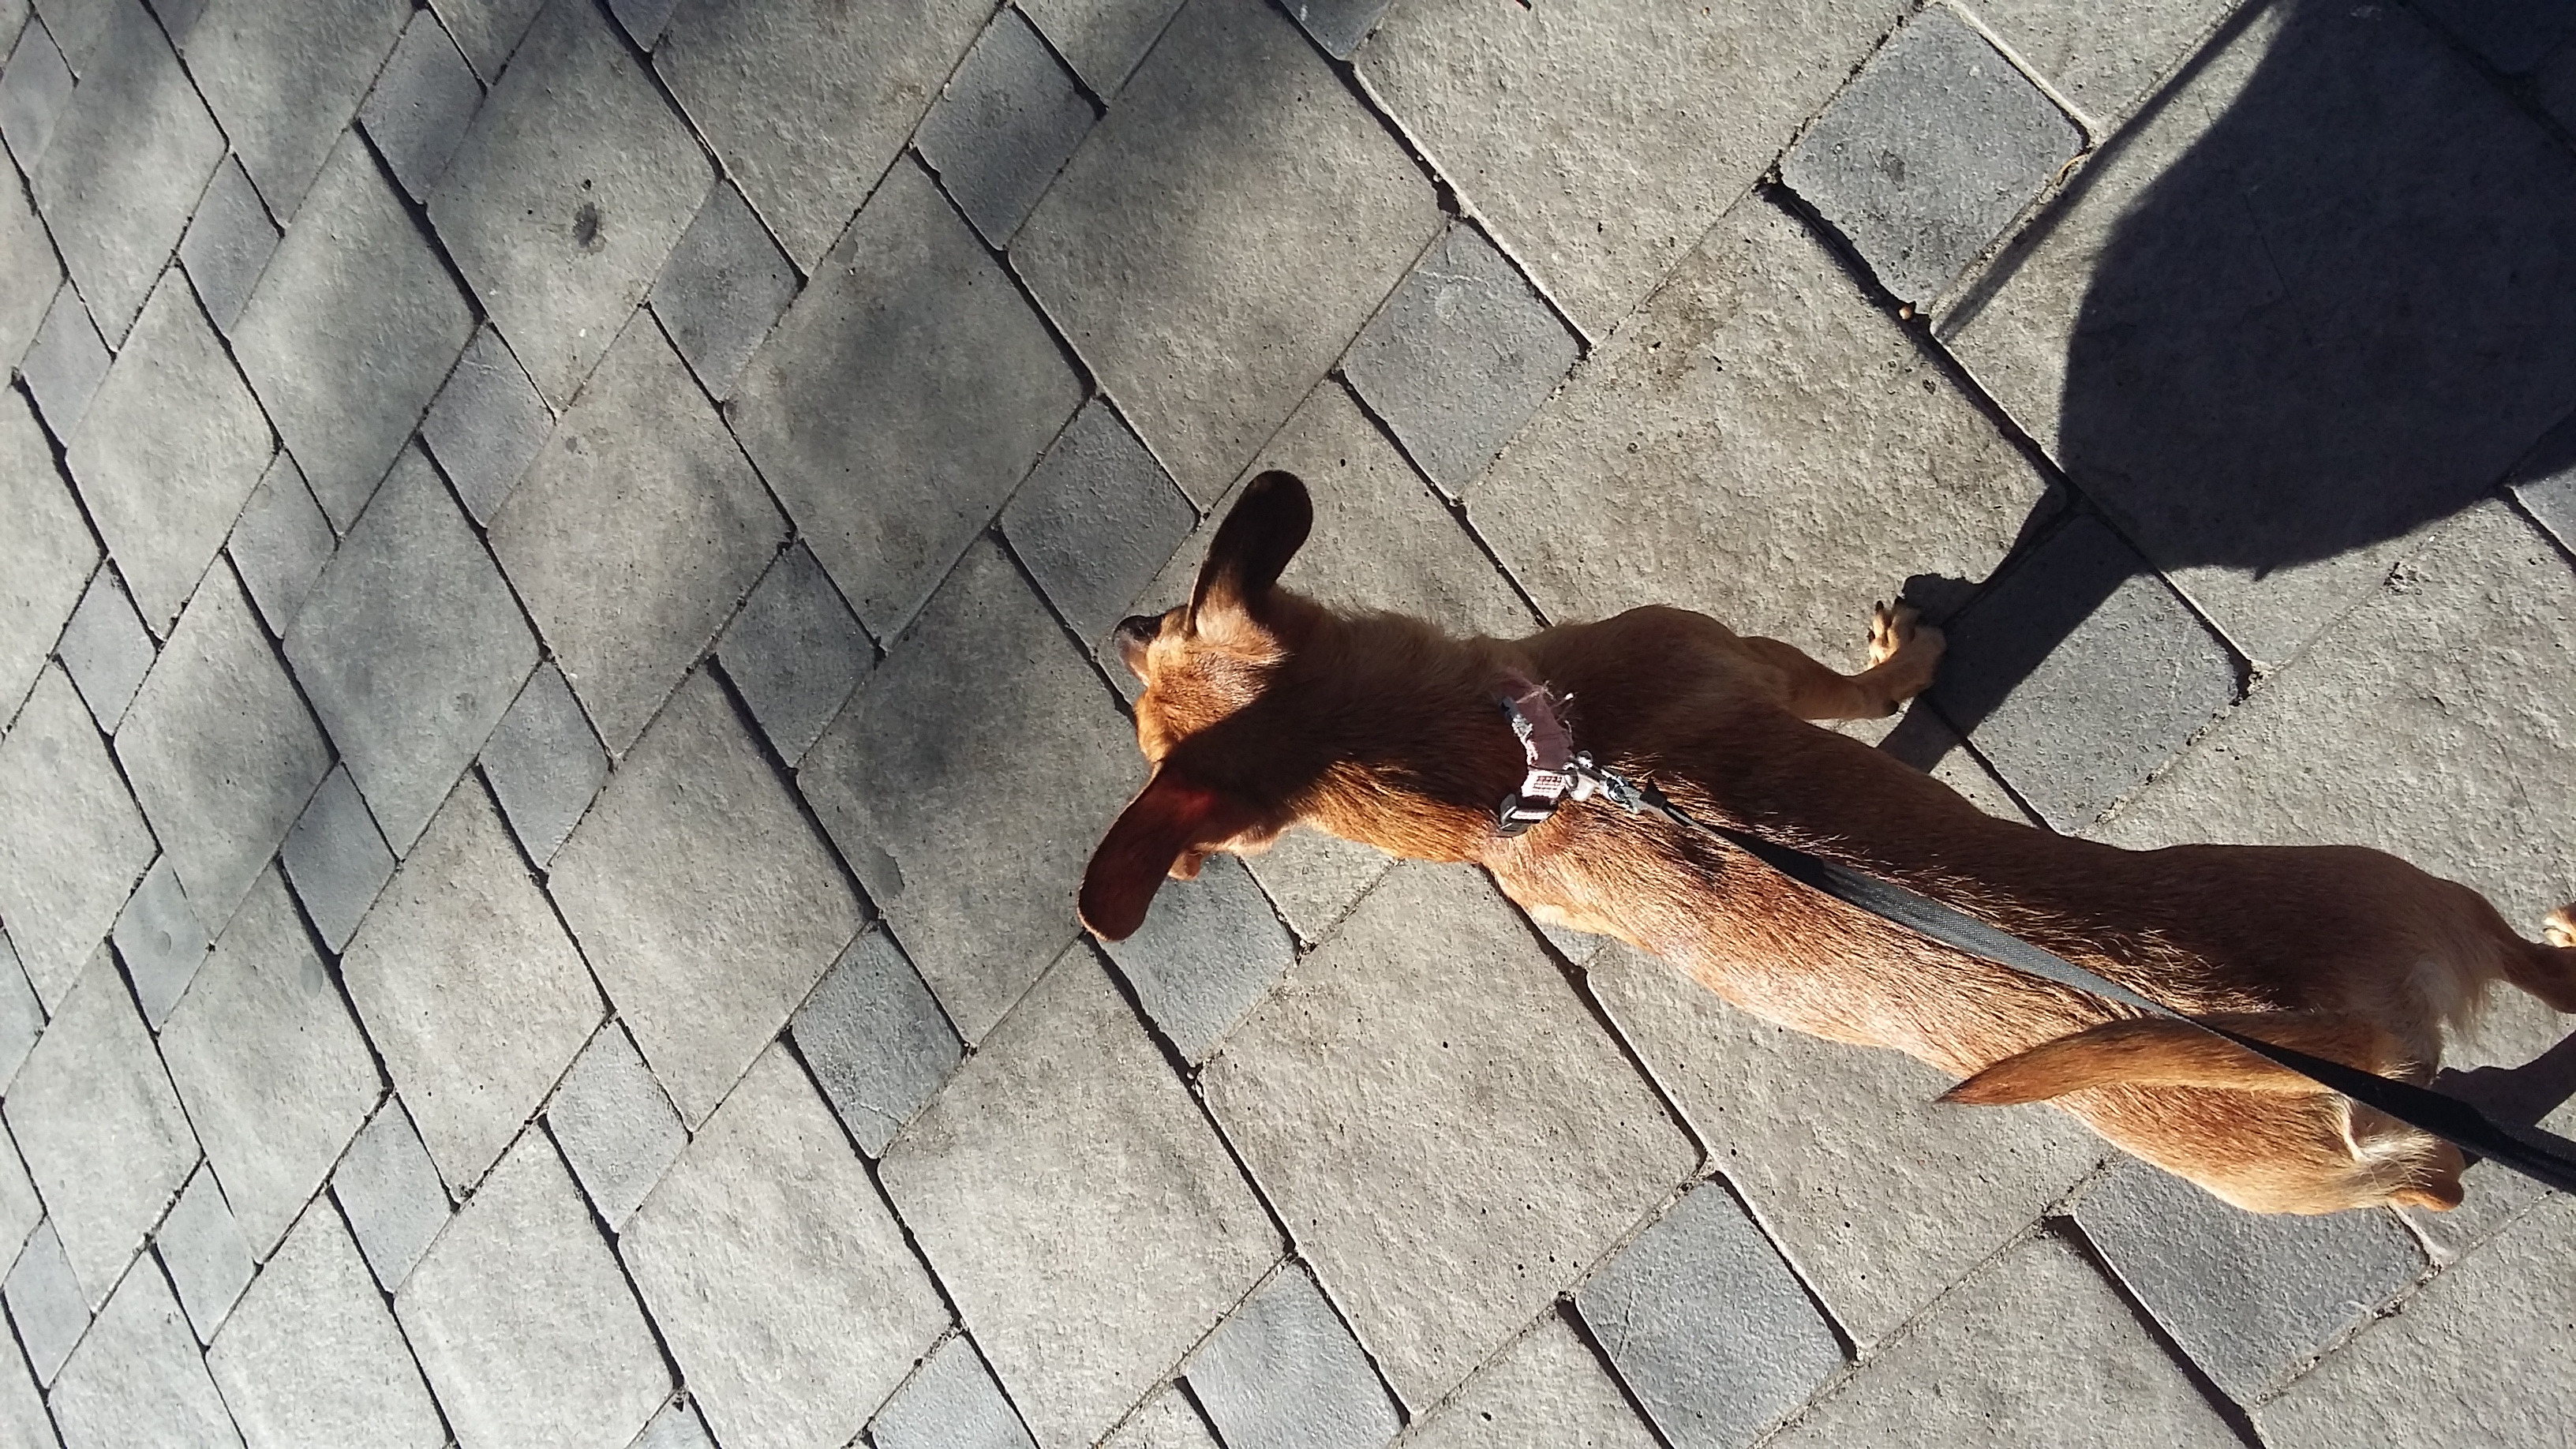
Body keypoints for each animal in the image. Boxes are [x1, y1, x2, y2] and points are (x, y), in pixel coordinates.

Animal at [1078, 470, 2576, 1214]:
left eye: (1159, 643)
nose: (1117, 621)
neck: (1516, 772)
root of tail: (2338, 1056)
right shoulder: (1760, 666)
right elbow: (1863, 692)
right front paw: (1907, 654)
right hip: (2395, 903)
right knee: (2501, 1055)